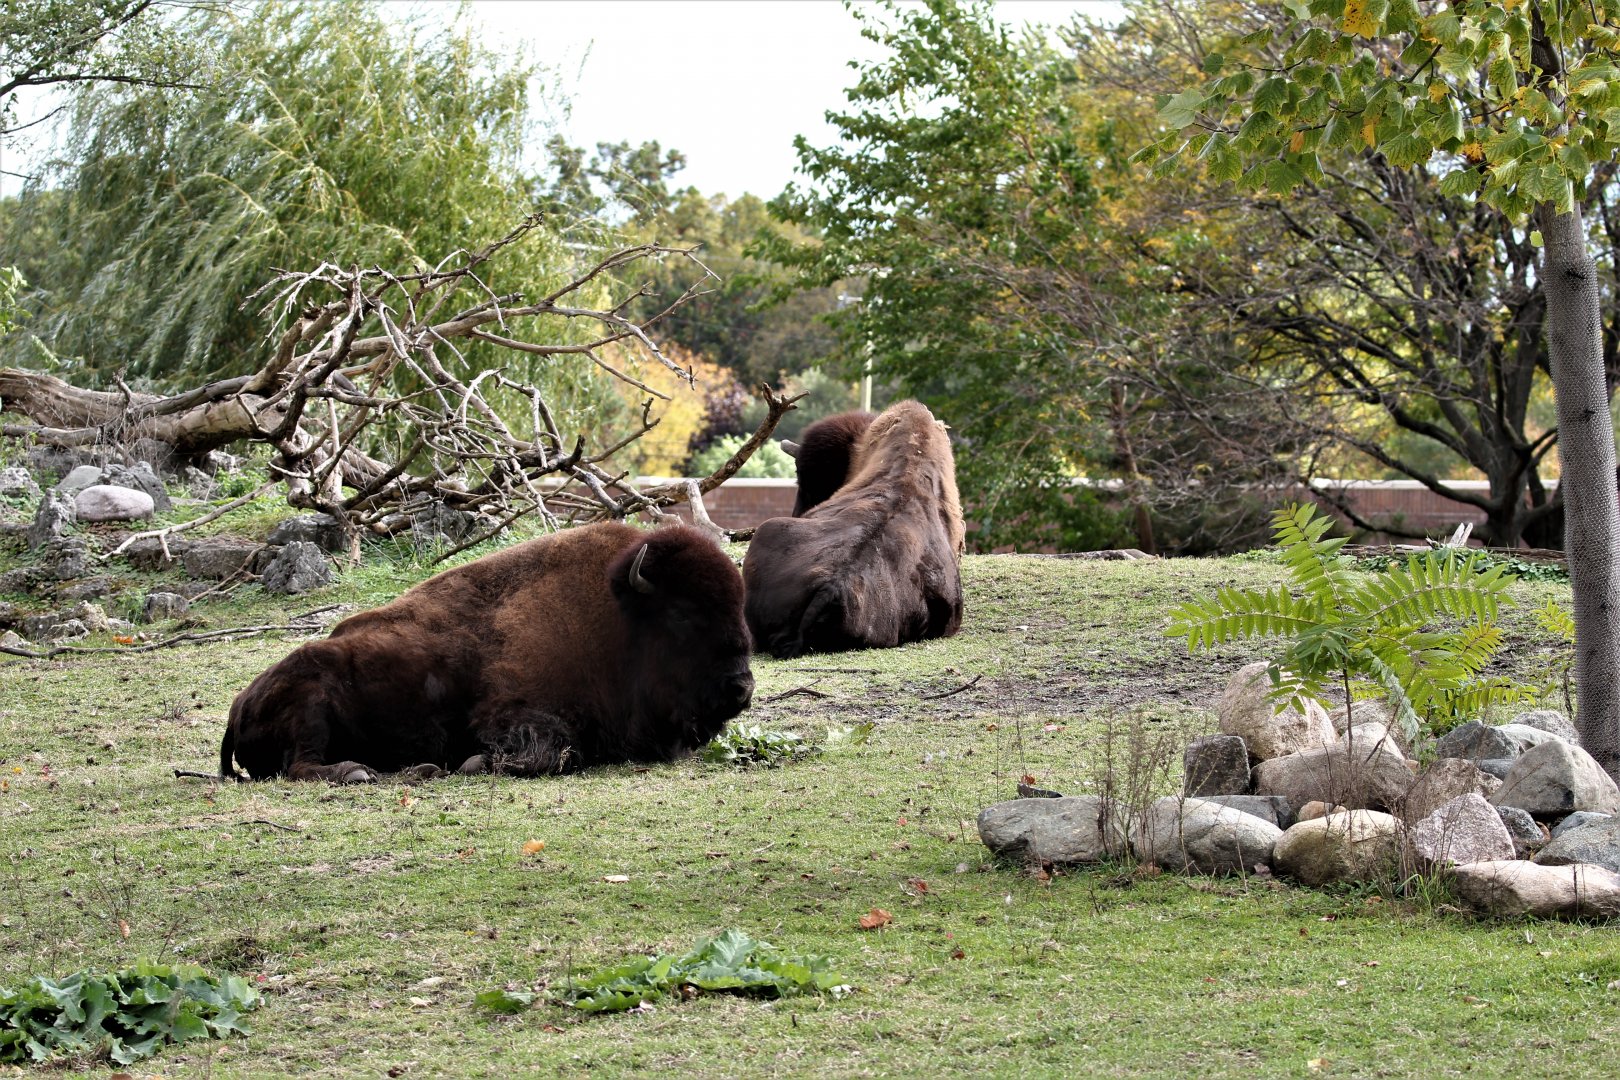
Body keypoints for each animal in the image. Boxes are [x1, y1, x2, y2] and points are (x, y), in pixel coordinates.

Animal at [220, 522, 754, 781]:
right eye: (681, 614)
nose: (741, 689)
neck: (616, 621)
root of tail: (238, 705)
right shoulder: (510, 714)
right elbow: (556, 751)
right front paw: (474, 763)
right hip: (311, 706)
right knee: (300, 767)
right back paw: (360, 772)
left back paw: (418, 769)